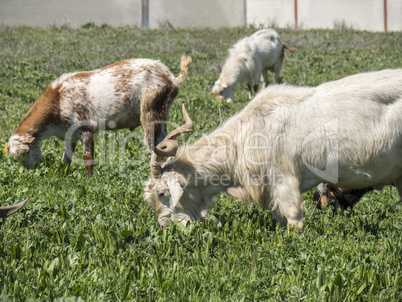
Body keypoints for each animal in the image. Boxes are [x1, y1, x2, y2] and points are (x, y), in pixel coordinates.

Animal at [4, 56, 193, 175]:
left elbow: (88, 158)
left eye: (26, 152)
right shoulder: (69, 135)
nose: (33, 169)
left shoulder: (85, 129)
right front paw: (62, 174)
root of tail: (172, 78)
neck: (58, 100)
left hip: (152, 111)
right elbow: (66, 159)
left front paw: (90, 179)